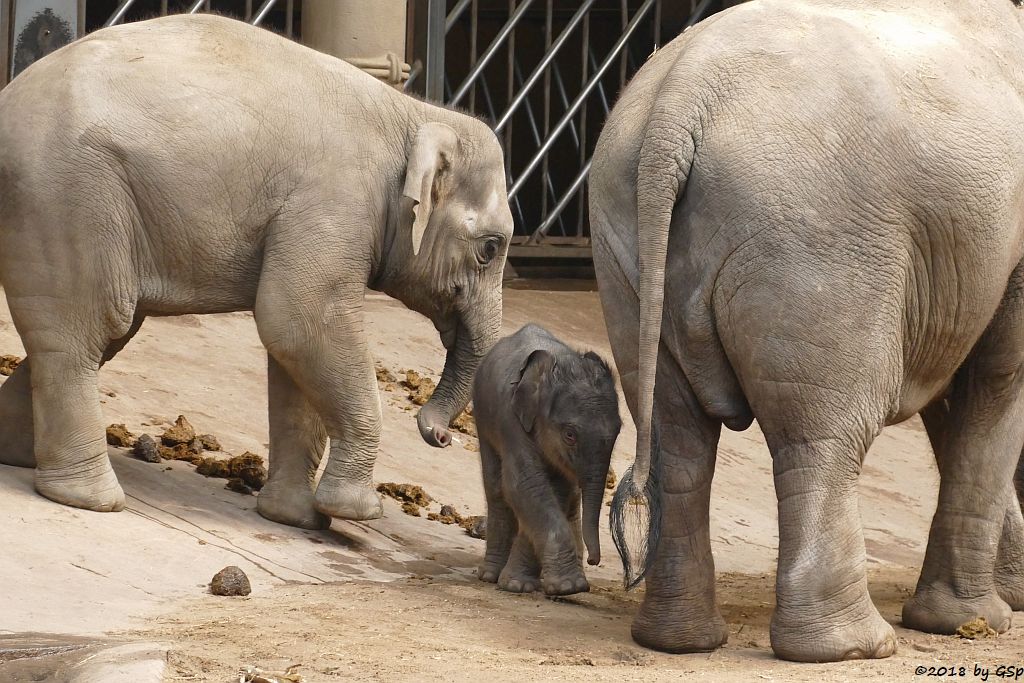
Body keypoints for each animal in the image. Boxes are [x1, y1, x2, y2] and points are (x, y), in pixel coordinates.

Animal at [0, 14, 512, 528]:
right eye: (490, 249)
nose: (439, 435)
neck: (410, 114)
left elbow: (295, 353)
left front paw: (296, 518)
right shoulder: (335, 202)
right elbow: (298, 321)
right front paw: (359, 511)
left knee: (95, 336)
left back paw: (20, 456)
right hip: (68, 195)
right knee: (88, 331)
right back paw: (90, 498)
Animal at [473, 323, 622, 593]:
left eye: (618, 431)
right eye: (570, 435)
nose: (594, 561)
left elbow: (555, 490)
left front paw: (522, 584)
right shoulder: (511, 420)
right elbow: (525, 484)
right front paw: (568, 586)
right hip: (483, 416)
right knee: (497, 489)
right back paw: (489, 575)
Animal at [589, 0, 1024, 663]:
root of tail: (680, 101)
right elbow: (997, 381)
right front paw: (979, 622)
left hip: (626, 239)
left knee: (676, 432)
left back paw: (679, 641)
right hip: (813, 243)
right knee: (824, 436)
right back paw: (853, 648)